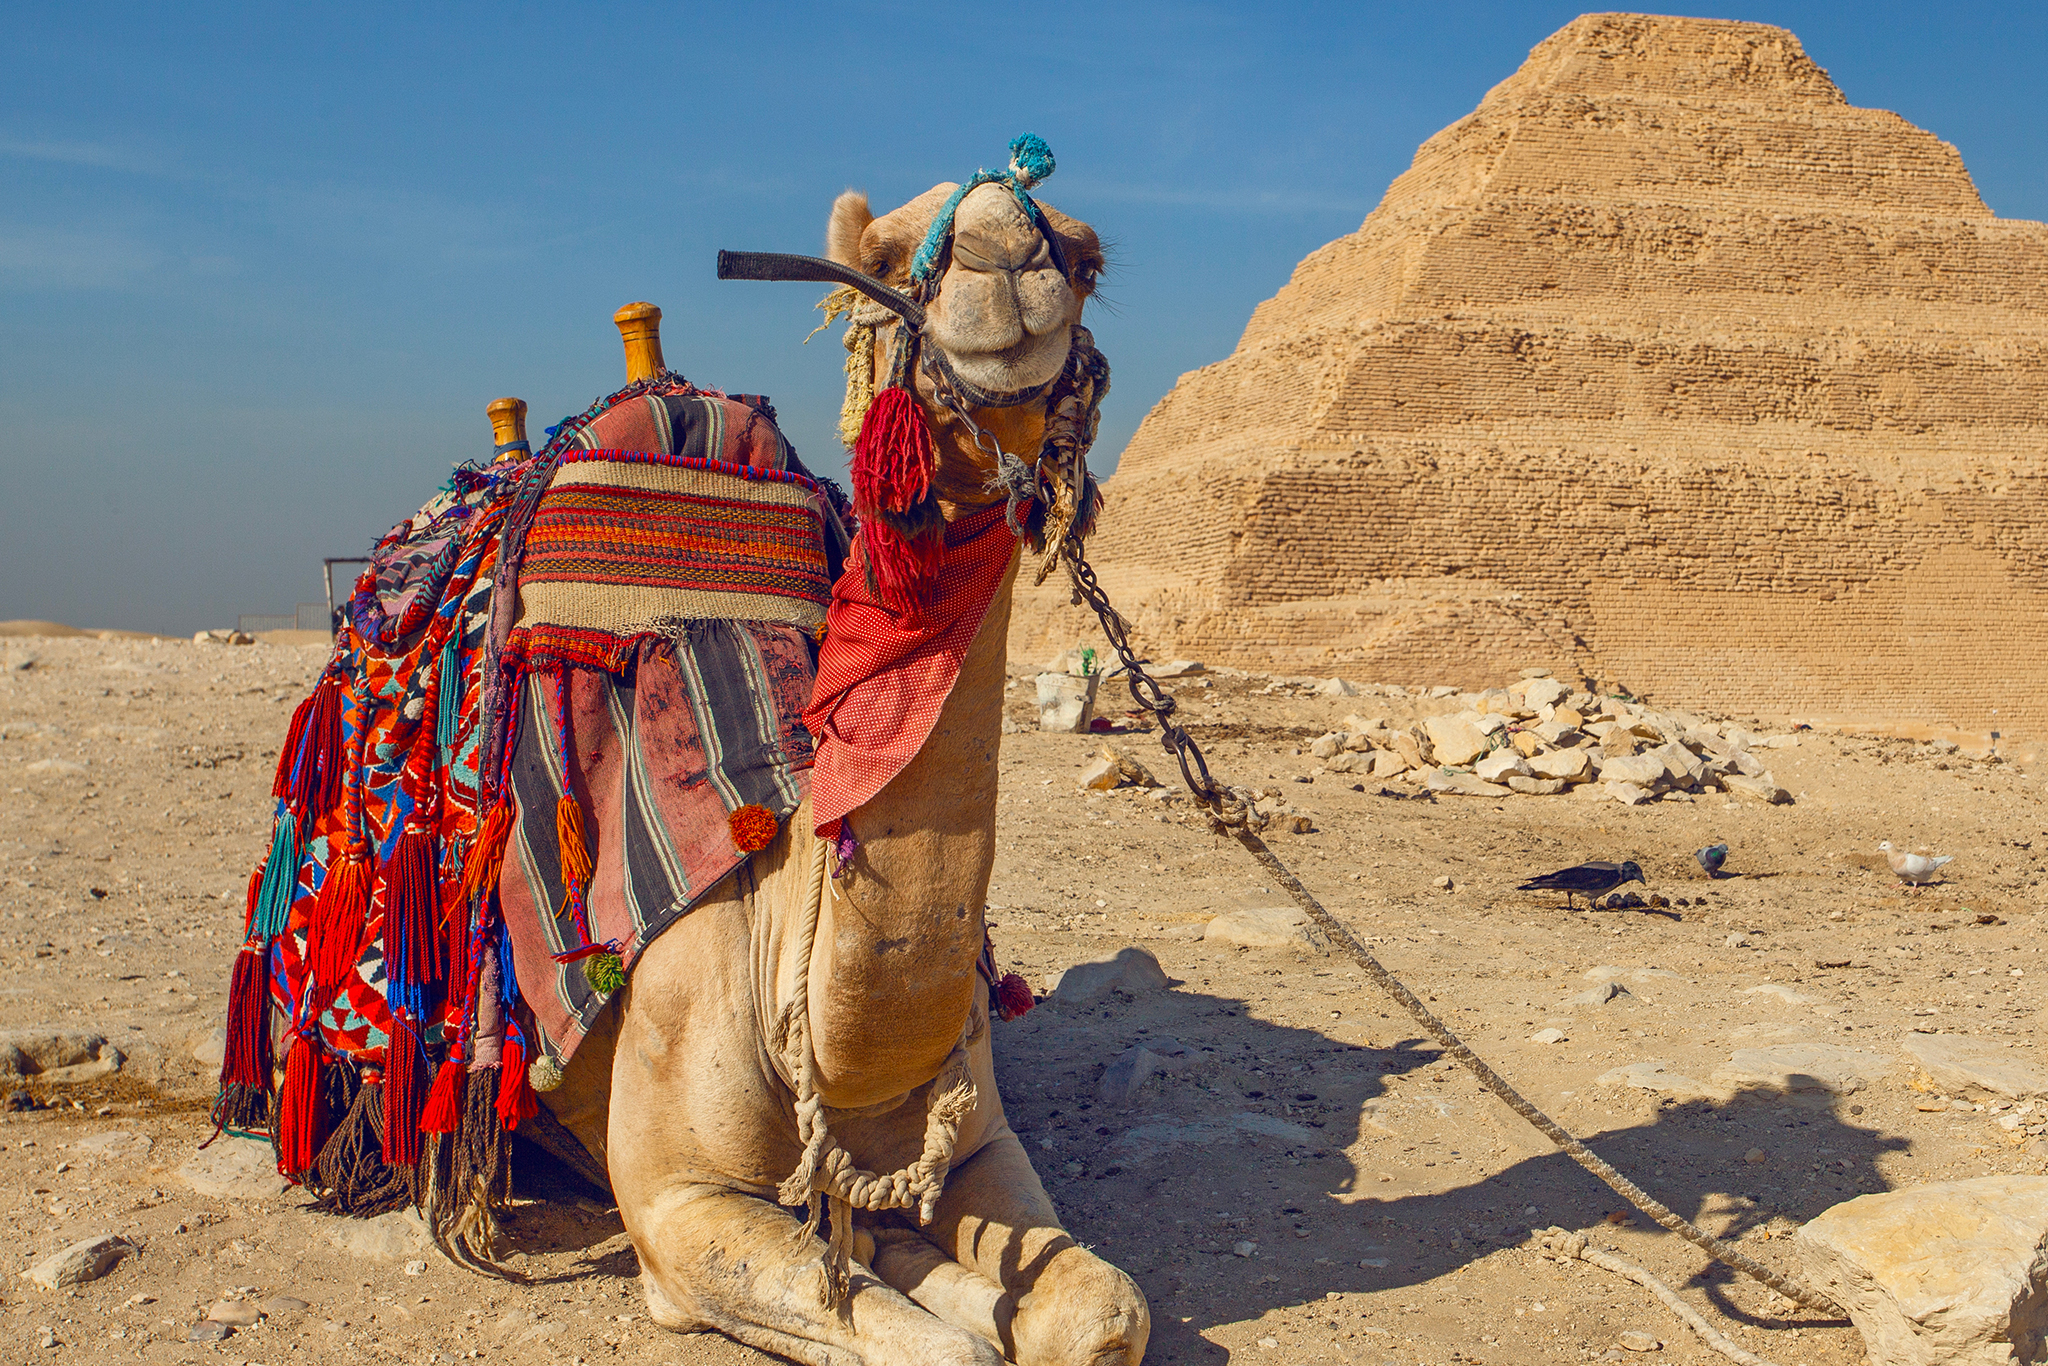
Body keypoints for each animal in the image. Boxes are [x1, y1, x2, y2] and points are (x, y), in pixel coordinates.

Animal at [531, 168, 1151, 1365]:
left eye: (1086, 254)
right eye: (885, 255)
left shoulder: (975, 1141)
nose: (1005, 251)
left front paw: (950, 1273)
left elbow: (1102, 1308)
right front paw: (928, 1290)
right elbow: (941, 1344)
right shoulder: (678, 1210)